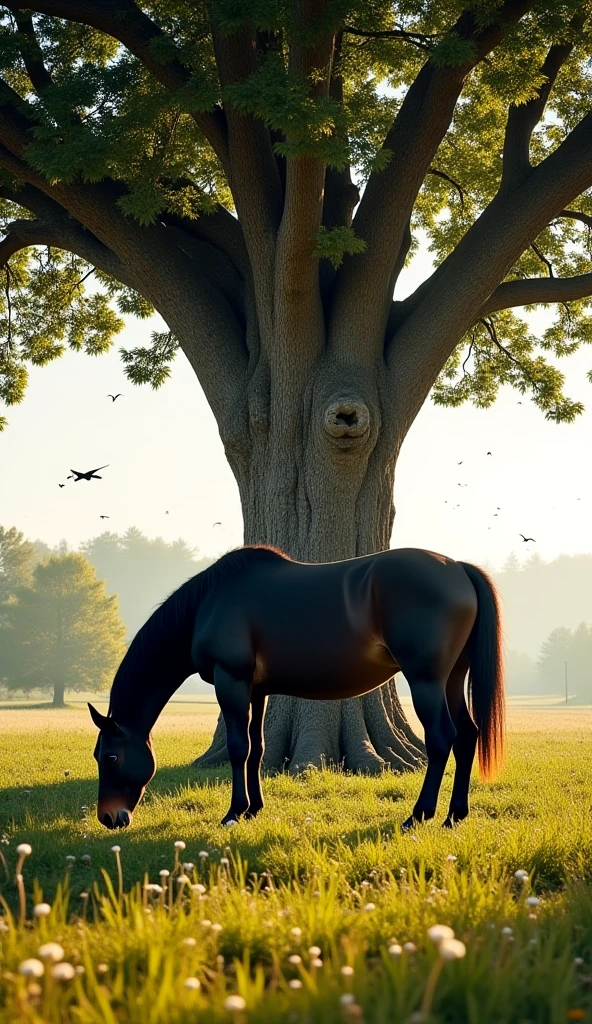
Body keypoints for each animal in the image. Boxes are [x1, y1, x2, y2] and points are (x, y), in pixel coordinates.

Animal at [89, 544, 505, 831]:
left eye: (109, 758)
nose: (109, 817)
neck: (209, 602)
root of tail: (458, 568)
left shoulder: (231, 681)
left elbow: (238, 748)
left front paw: (233, 812)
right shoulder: (256, 690)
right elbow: (257, 748)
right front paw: (254, 808)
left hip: (426, 680)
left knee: (442, 738)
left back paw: (419, 815)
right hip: (452, 679)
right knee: (467, 734)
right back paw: (455, 815)